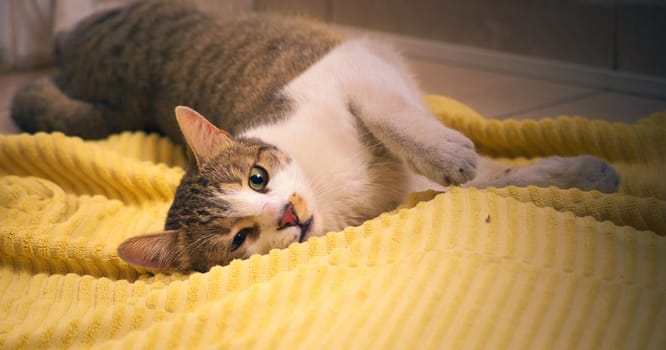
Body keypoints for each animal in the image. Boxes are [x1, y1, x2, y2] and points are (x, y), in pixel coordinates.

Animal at [9, 0, 616, 274]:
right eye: (239, 239)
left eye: (258, 178)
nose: (287, 215)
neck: (334, 191)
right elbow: (494, 180)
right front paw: (573, 174)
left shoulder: (351, 72)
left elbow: (396, 120)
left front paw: (454, 153)